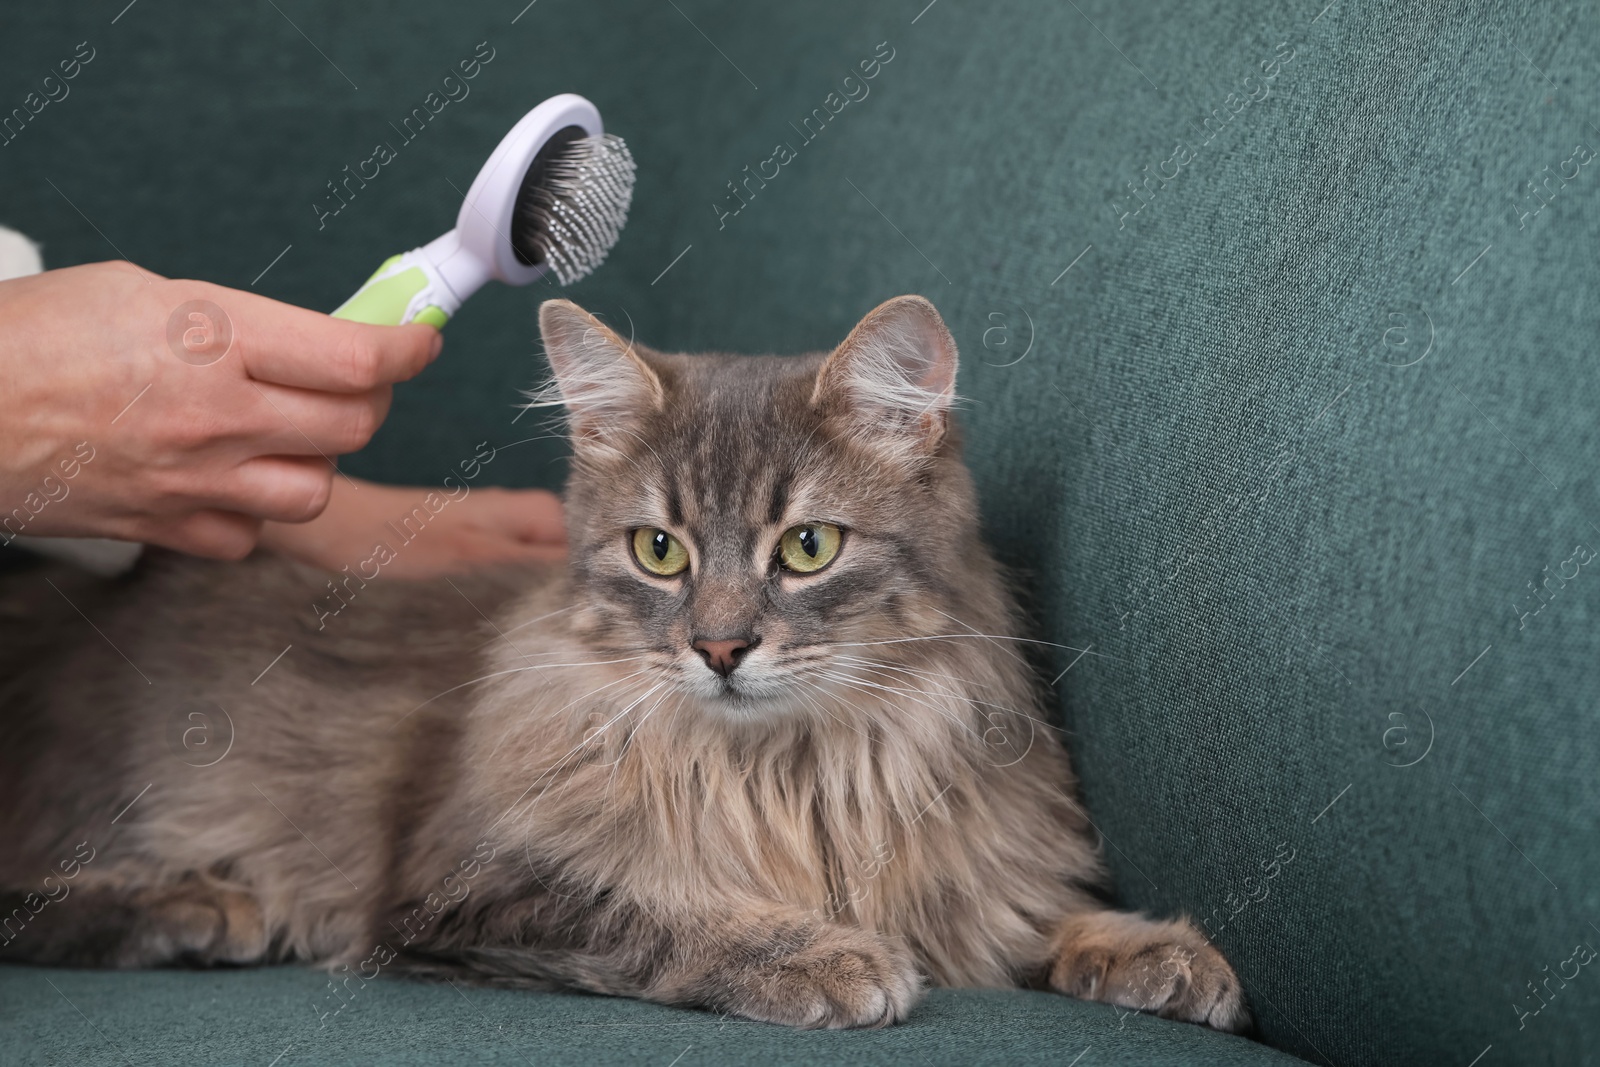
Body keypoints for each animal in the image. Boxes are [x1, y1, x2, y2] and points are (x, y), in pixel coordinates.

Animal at [0, 295, 1248, 1030]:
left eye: (807, 547)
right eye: (660, 550)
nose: (720, 645)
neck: (786, 772)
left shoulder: (976, 880)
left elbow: (1035, 921)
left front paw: (1152, 951)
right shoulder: (469, 888)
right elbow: (663, 909)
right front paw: (816, 954)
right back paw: (194, 904)